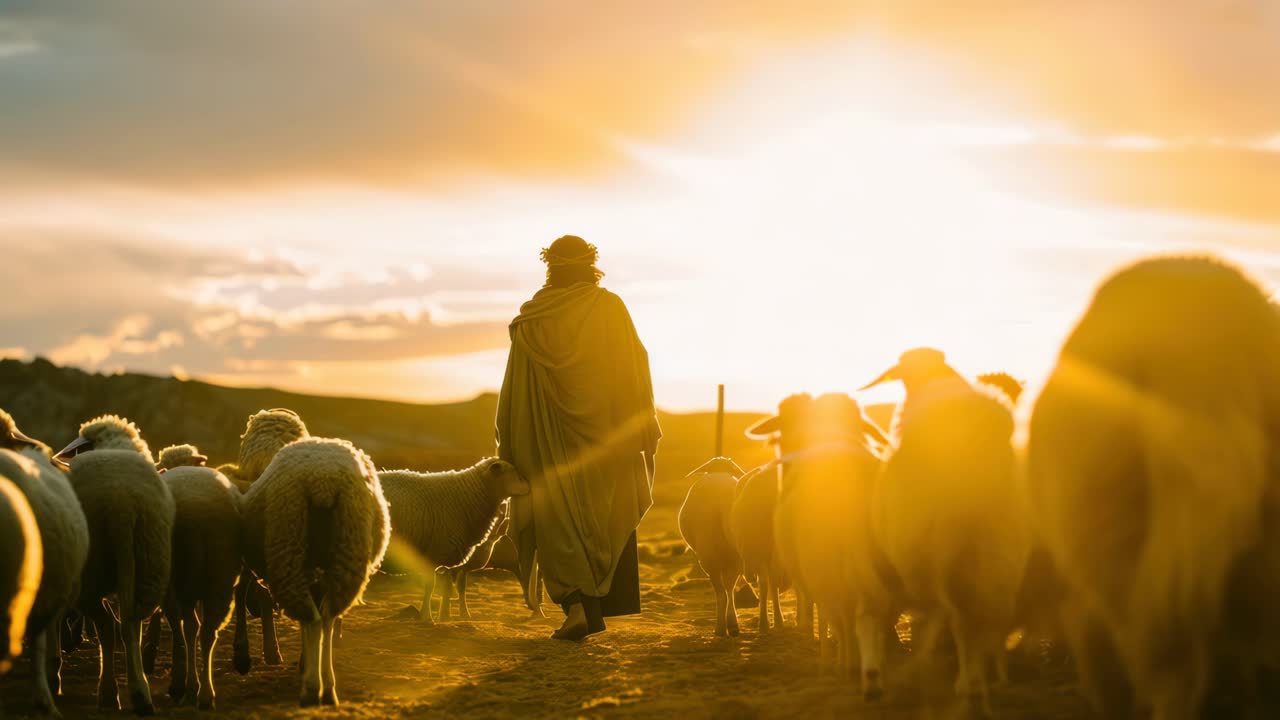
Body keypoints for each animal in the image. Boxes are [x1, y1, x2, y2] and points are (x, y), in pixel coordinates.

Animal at [54, 415, 175, 716]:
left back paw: (109, 693)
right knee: (130, 624)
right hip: (148, 566)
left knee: (107, 626)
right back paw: (140, 694)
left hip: (90, 573)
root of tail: (123, 505)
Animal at [240, 437, 390, 706]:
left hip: (289, 544)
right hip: (348, 549)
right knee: (327, 617)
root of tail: (323, 482)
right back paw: (328, 688)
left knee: (311, 618)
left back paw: (311, 689)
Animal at [378, 458, 530, 623]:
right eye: (512, 471)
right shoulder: (434, 552)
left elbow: (446, 588)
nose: (529, 485)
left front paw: (442, 616)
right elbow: (431, 586)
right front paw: (427, 617)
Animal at [678, 457, 746, 637]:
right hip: (735, 556)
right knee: (729, 587)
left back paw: (721, 628)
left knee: (722, 592)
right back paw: (732, 625)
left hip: (708, 554)